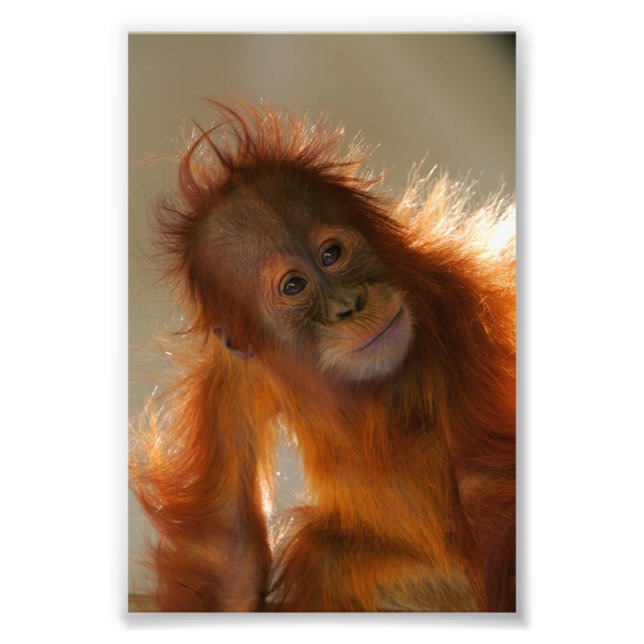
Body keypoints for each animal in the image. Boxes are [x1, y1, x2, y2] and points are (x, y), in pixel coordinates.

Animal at [129, 100, 516, 612]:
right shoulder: (231, 382)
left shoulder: (463, 301)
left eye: (332, 254)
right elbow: (232, 555)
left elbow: (488, 483)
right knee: (324, 559)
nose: (349, 305)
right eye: (295, 285)